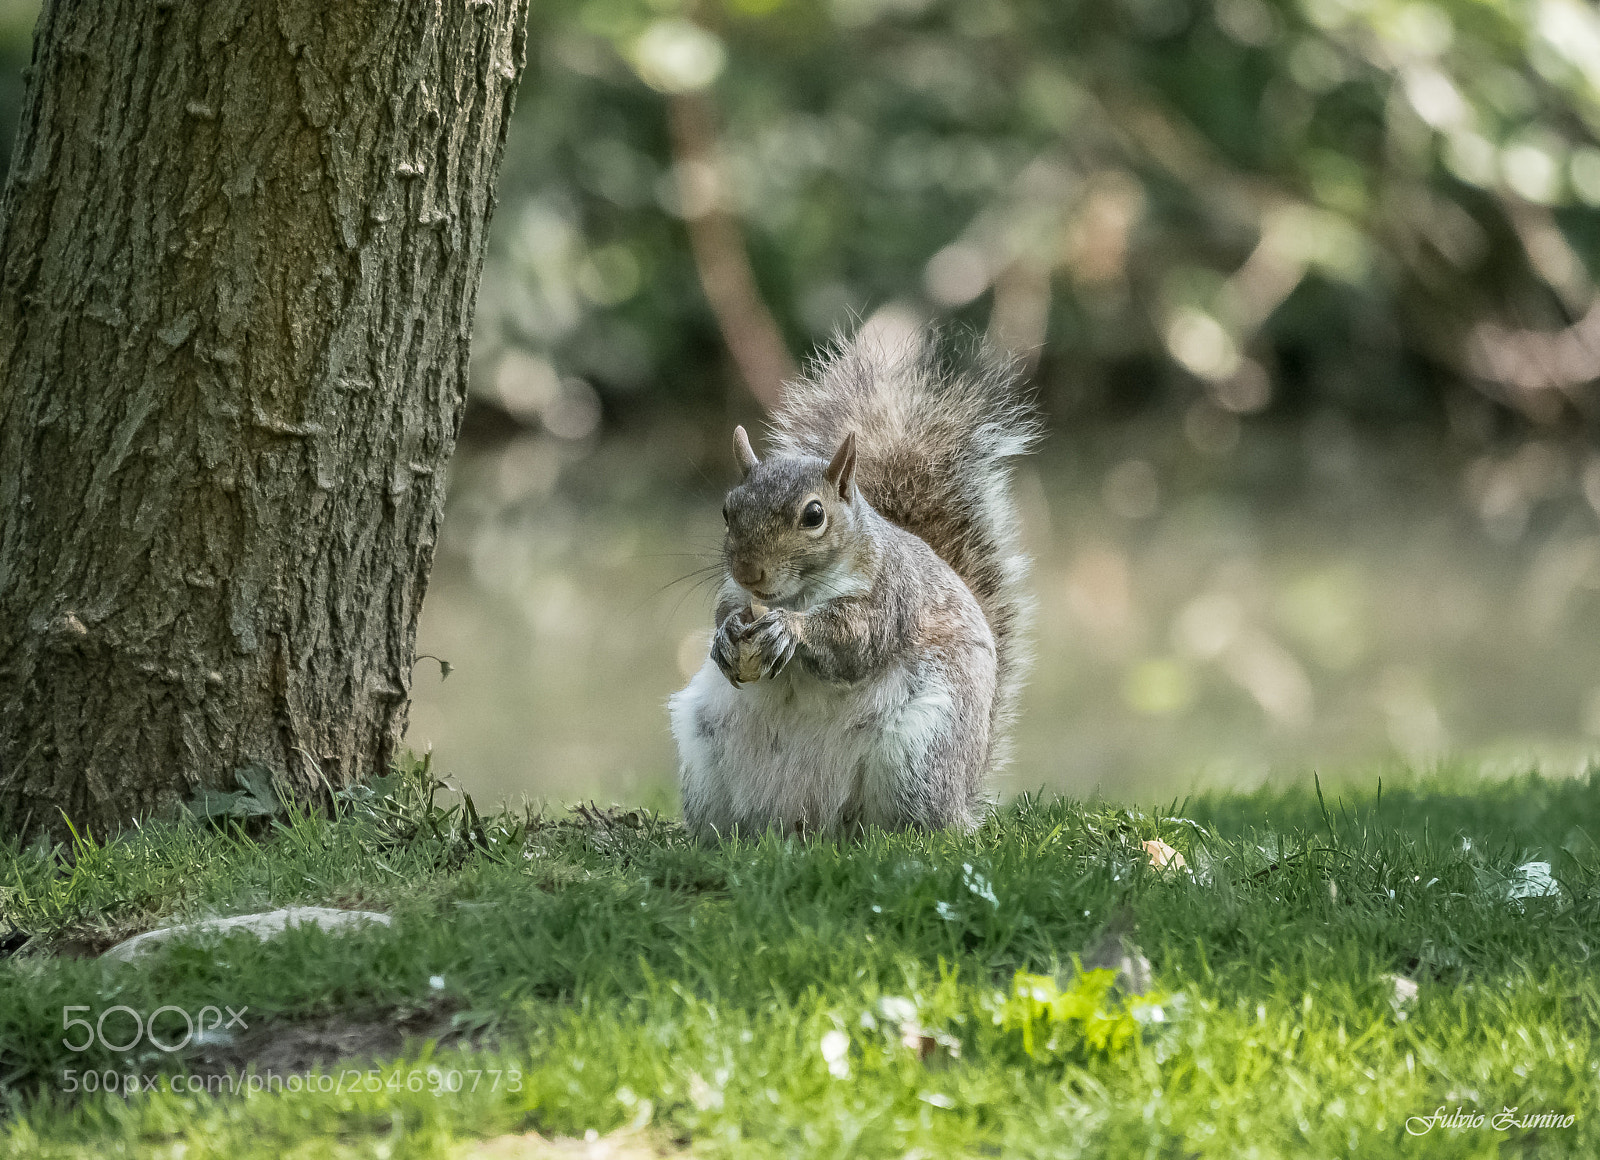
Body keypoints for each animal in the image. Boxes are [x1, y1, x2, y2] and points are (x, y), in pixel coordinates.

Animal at [668, 325, 1039, 839]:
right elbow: (725, 609)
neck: (798, 593)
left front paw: (790, 629)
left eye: (814, 515)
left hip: (922, 754)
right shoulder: (734, 593)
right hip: (706, 756)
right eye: (727, 510)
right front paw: (725, 636)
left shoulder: (889, 596)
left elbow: (855, 640)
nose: (748, 572)